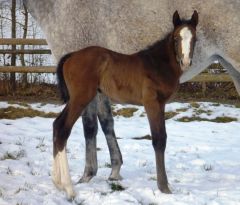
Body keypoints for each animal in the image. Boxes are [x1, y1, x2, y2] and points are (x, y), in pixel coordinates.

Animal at [52, 10, 199, 199]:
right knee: (63, 128)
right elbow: (159, 139)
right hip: (81, 97)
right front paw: (164, 187)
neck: (157, 64)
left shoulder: (161, 105)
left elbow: (162, 138)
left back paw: (57, 183)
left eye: (195, 39)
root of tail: (71, 56)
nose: (185, 62)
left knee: (56, 125)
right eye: (175, 38)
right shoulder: (152, 103)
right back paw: (69, 189)